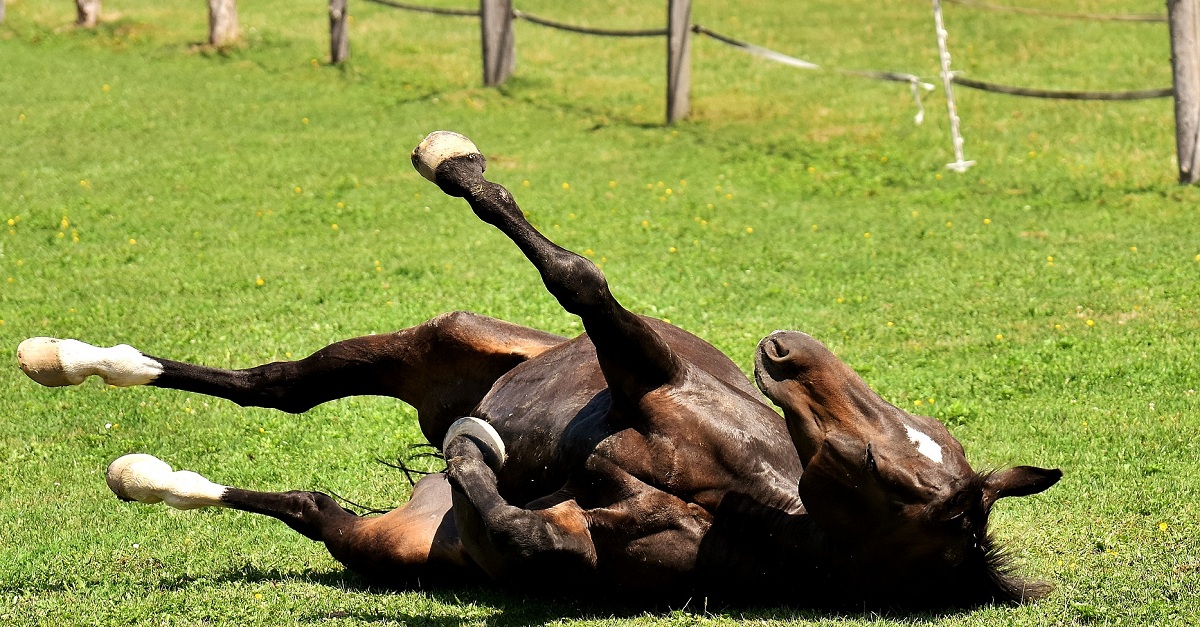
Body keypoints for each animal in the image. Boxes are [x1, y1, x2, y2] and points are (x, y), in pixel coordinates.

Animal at [18, 130, 1060, 605]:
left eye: (875, 467)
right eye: (908, 433)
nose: (786, 348)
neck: (740, 494)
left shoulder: (589, 548)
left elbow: (535, 539)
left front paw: (484, 458)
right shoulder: (643, 366)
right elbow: (582, 277)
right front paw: (459, 166)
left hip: (381, 542)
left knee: (308, 491)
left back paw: (140, 469)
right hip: (439, 339)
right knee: (278, 385)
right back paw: (65, 358)